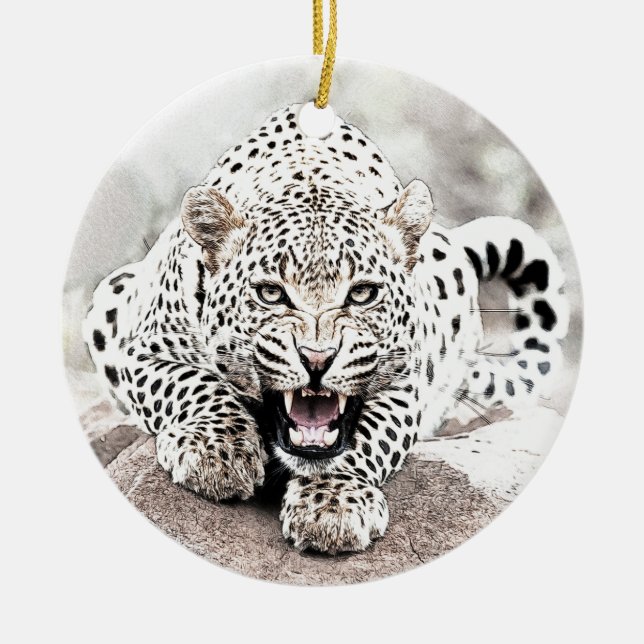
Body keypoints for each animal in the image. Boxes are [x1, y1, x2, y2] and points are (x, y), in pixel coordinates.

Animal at [83, 103, 569, 554]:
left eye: (363, 293)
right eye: (271, 293)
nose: (317, 359)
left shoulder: (405, 382)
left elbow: (367, 438)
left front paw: (333, 504)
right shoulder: (142, 350)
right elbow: (194, 385)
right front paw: (218, 452)